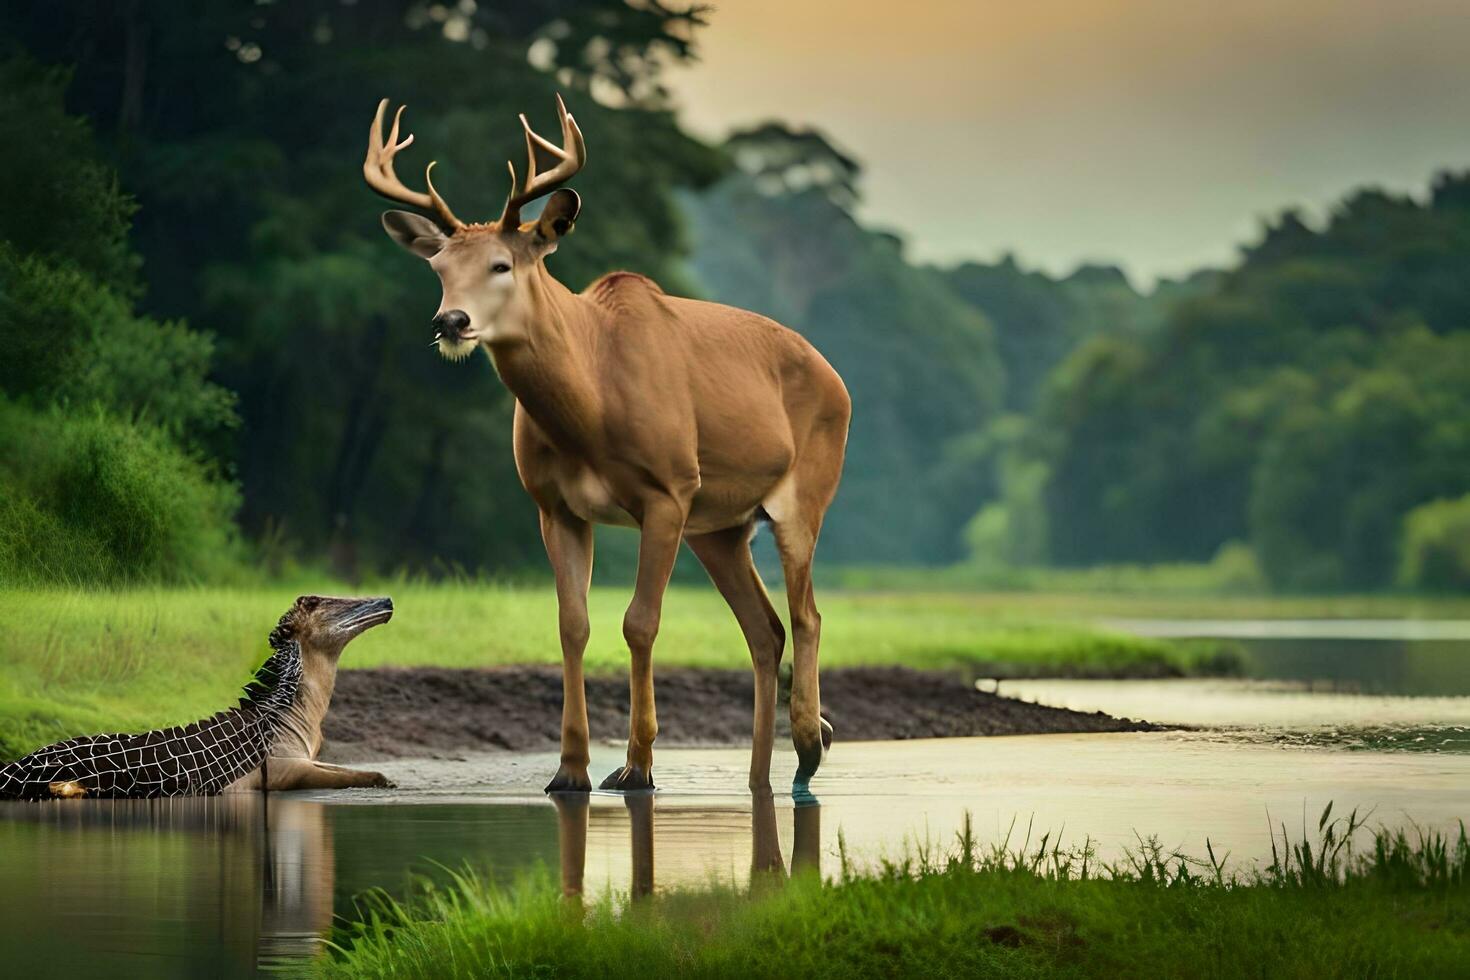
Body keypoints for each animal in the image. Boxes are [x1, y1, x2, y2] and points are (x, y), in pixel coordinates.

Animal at [363, 95, 852, 799]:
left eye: (502, 264)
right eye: (438, 267)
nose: (450, 321)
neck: (591, 406)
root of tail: (837, 378)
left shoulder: (669, 490)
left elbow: (640, 621)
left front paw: (637, 765)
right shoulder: (554, 505)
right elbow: (574, 624)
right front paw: (569, 768)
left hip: (802, 496)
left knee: (806, 613)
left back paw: (812, 747)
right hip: (721, 527)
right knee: (766, 627)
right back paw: (761, 776)